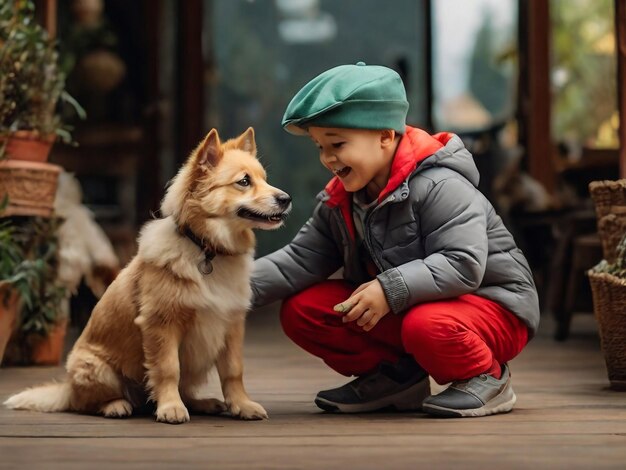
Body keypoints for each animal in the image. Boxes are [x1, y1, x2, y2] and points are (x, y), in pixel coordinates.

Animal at [3, 126, 292, 424]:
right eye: (244, 182)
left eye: (264, 179)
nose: (286, 199)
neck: (206, 249)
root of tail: (67, 387)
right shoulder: (161, 325)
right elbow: (167, 370)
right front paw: (170, 408)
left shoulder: (231, 326)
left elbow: (234, 371)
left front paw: (241, 405)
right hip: (97, 369)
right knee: (88, 402)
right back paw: (116, 405)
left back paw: (203, 402)